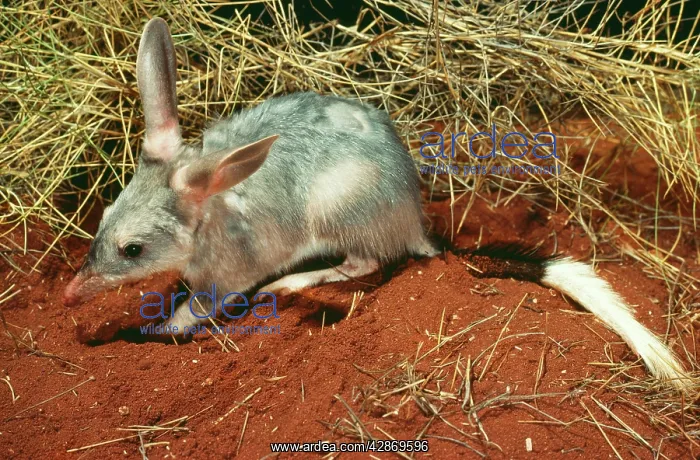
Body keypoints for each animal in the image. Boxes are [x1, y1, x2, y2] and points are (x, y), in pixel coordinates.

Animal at [63, 18, 693, 392]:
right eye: (102, 223)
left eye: (132, 249)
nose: (68, 296)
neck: (209, 214)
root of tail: (416, 224)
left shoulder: (226, 277)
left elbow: (191, 314)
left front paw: (147, 334)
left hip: (338, 211)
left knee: (363, 265)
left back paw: (291, 283)